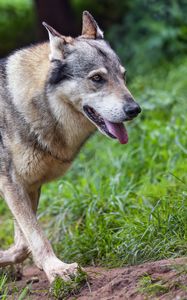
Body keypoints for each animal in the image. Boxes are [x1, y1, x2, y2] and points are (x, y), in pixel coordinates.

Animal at [0, 11, 141, 282]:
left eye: (123, 76)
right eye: (97, 78)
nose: (134, 109)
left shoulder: (30, 185)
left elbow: (24, 243)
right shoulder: (11, 183)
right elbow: (36, 236)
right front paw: (58, 270)